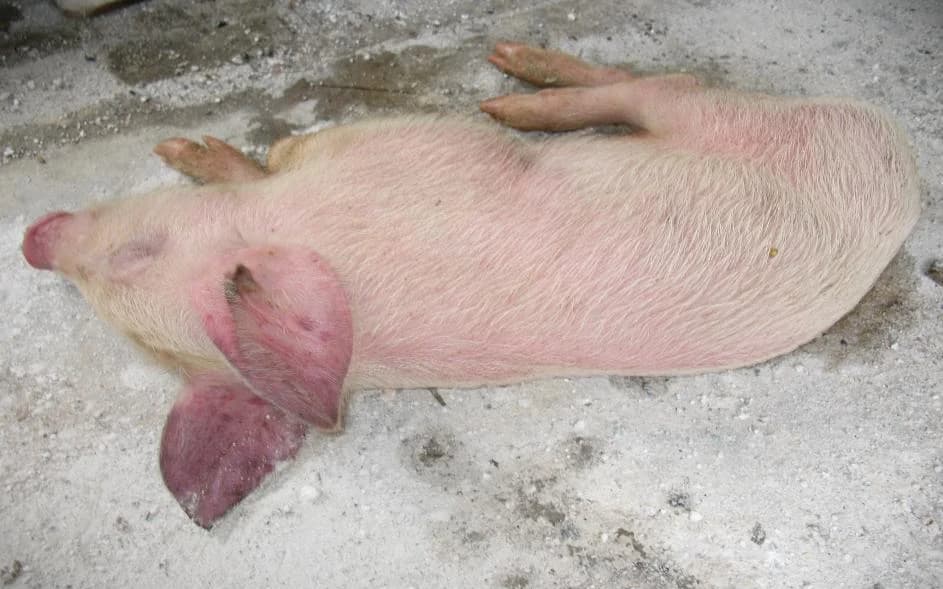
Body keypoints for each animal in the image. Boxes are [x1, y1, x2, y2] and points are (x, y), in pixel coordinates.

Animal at [21, 43, 920, 527]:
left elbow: (272, 154)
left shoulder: (389, 150)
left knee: (661, 85)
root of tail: (898, 157)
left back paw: (506, 88)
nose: (34, 240)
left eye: (137, 252)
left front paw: (184, 151)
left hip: (723, 117)